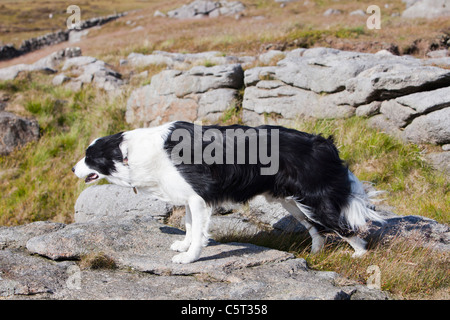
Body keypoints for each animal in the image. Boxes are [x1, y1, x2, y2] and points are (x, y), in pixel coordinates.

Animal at [74, 121, 384, 264]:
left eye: (89, 157)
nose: (73, 168)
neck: (131, 153)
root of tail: (325, 144)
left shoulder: (199, 198)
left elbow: (197, 232)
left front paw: (189, 258)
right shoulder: (191, 199)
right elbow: (189, 226)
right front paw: (184, 246)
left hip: (316, 199)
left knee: (346, 227)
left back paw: (359, 255)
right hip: (293, 203)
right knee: (315, 228)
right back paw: (315, 254)